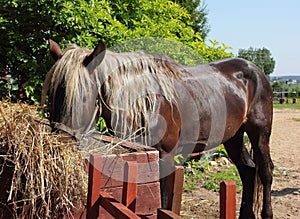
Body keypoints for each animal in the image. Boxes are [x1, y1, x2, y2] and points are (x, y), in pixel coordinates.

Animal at [42, 39, 274, 219]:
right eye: (51, 93)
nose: (60, 141)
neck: (146, 103)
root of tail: (256, 71)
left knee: (265, 172)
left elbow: (163, 201)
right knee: (247, 169)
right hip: (233, 137)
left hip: (259, 134)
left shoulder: (165, 155)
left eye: (82, 96)